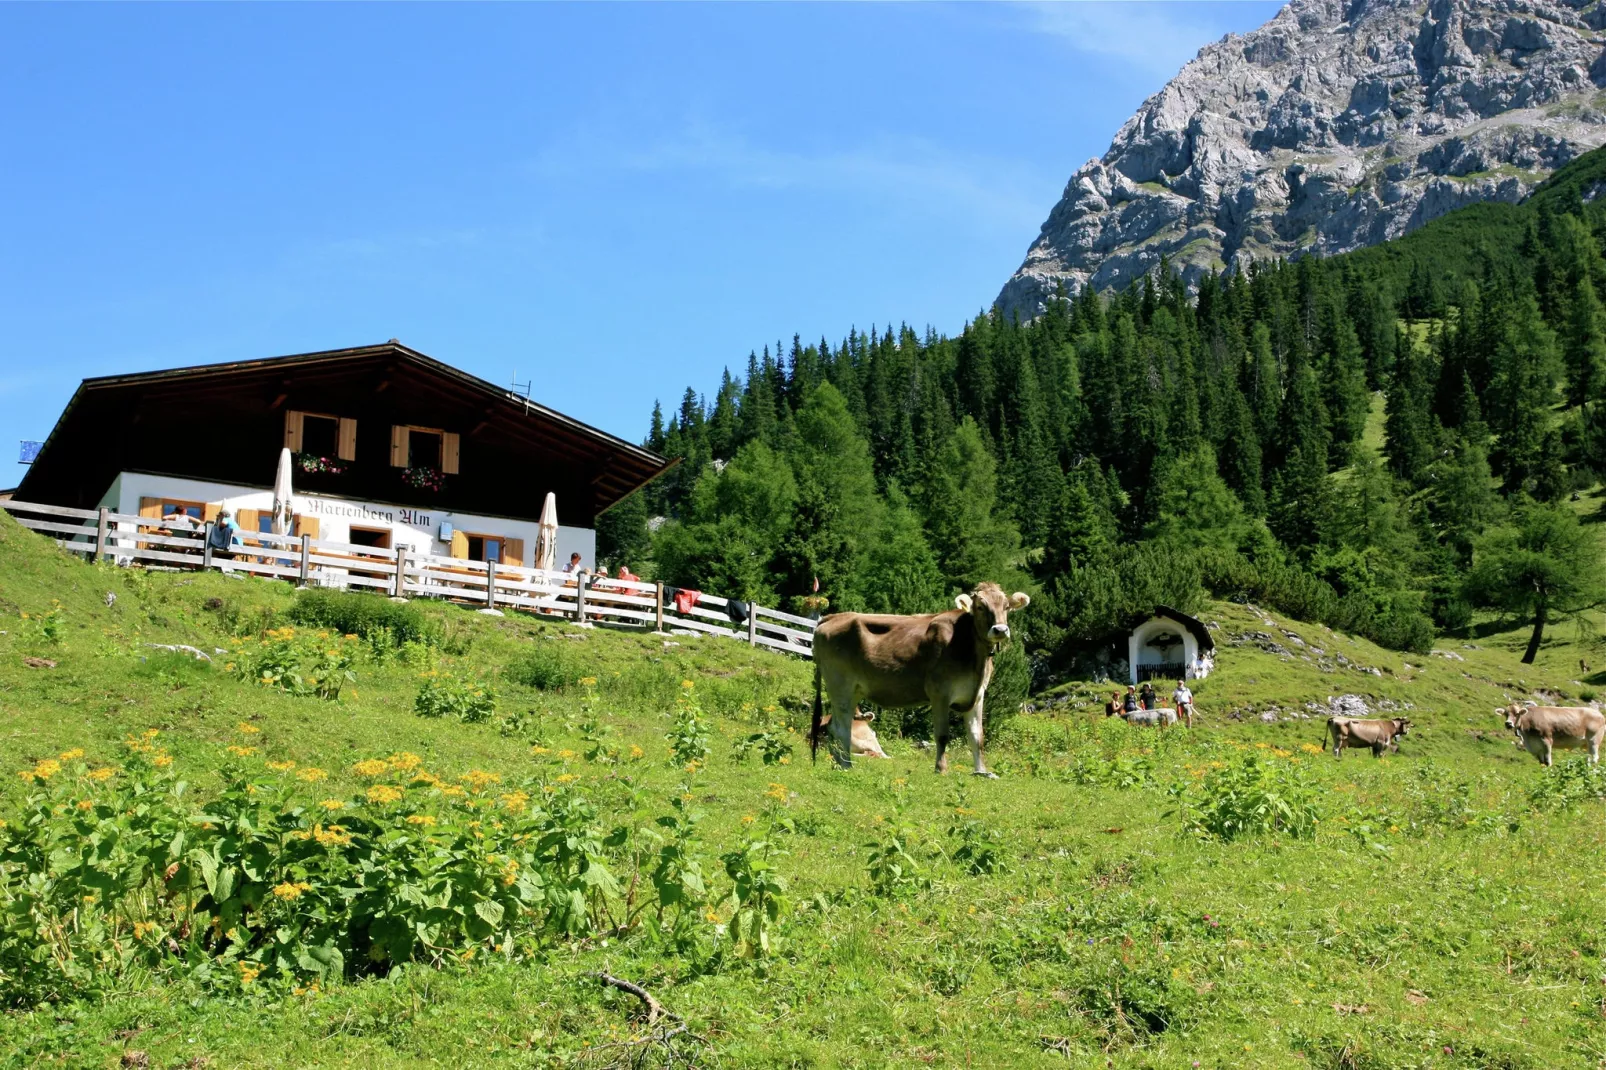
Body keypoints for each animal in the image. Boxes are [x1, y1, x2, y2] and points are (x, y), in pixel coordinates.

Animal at [809, 578, 1034, 771]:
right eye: (980, 606)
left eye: (1007, 607)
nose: (1000, 630)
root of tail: (833, 617)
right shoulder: (940, 692)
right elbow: (942, 735)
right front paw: (941, 769)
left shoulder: (977, 695)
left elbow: (977, 737)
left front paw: (982, 772)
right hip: (840, 684)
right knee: (841, 727)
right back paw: (846, 764)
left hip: (853, 689)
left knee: (840, 725)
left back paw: (839, 762)